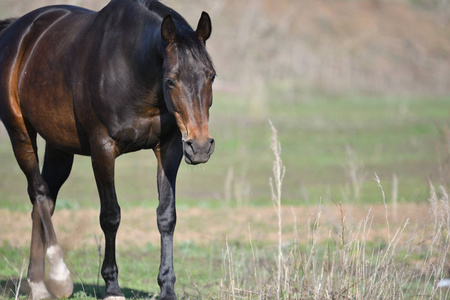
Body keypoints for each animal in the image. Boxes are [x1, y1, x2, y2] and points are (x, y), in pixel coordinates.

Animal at [0, 0, 216, 298]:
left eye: (211, 76)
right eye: (171, 80)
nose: (201, 147)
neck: (131, 68)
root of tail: (16, 31)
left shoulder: (170, 148)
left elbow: (166, 215)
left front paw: (167, 287)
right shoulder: (102, 149)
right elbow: (110, 216)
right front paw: (112, 286)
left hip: (58, 146)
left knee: (43, 201)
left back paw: (39, 282)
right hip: (19, 132)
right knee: (39, 192)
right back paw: (56, 277)